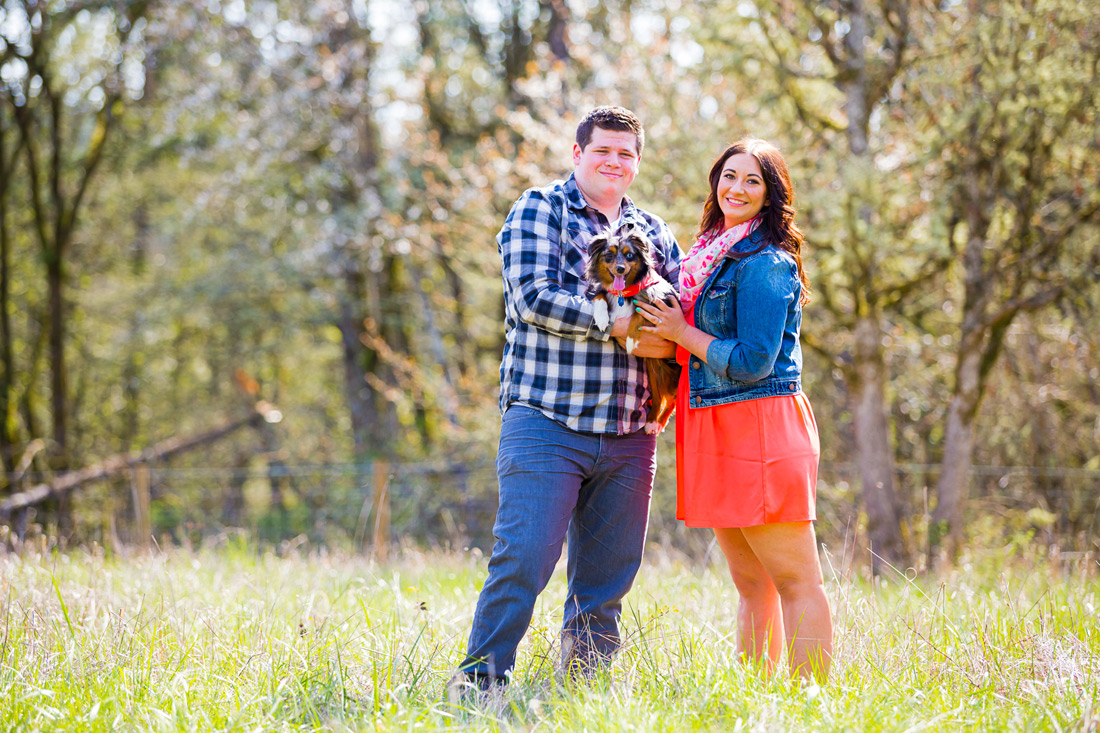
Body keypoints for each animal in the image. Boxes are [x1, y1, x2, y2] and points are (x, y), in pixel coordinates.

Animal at [585, 226, 677, 433]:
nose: (620, 268)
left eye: (629, 255)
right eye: (609, 256)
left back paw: (656, 422)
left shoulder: (659, 305)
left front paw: (630, 340)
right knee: (661, 399)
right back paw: (652, 421)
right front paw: (601, 319)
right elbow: (600, 296)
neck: (624, 292)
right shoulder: (604, 292)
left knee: (672, 400)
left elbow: (638, 312)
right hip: (654, 370)